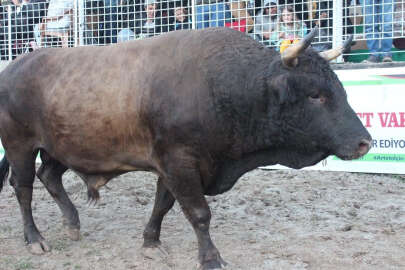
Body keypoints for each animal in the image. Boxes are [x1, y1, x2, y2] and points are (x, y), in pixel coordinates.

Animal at [0, 26, 370, 268]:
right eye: (315, 95)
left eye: (340, 88)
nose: (364, 142)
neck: (225, 85)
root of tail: (14, 67)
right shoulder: (180, 161)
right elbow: (199, 213)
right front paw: (211, 258)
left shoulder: (173, 165)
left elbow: (163, 204)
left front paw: (151, 242)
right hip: (19, 145)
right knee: (23, 187)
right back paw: (35, 239)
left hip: (60, 146)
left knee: (49, 177)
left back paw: (72, 223)